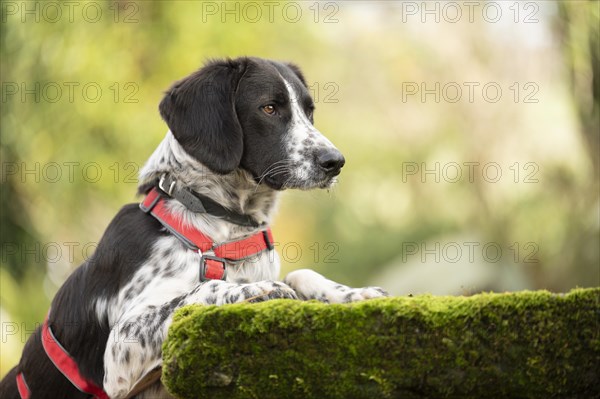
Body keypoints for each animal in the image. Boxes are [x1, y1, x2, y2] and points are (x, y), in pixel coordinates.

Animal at [0, 57, 386, 399]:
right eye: (269, 108)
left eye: (309, 111)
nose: (335, 162)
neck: (222, 226)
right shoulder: (121, 349)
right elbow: (207, 288)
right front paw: (259, 288)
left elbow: (301, 273)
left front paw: (352, 293)